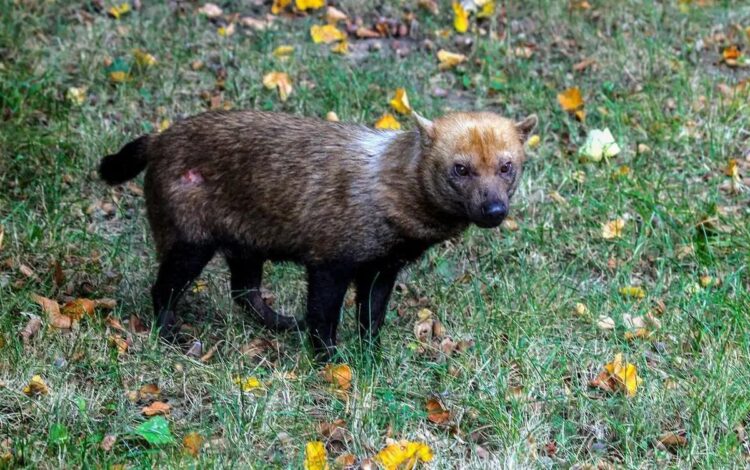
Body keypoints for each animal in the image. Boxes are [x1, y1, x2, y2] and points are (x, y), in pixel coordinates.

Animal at [101, 110, 540, 360]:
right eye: (460, 168)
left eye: (506, 166)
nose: (494, 210)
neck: (385, 190)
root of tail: (157, 140)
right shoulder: (330, 262)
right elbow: (323, 319)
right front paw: (332, 362)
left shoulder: (382, 269)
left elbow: (371, 318)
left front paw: (371, 357)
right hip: (191, 244)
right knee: (164, 289)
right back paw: (170, 334)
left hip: (247, 245)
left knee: (245, 293)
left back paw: (282, 323)